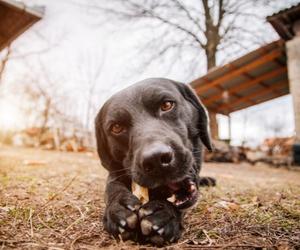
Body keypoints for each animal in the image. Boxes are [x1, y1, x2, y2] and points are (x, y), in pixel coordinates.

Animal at [94, 79, 213, 245]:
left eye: (167, 105)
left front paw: (165, 212)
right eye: (116, 127)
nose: (156, 159)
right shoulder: (114, 173)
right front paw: (117, 206)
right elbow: (112, 186)